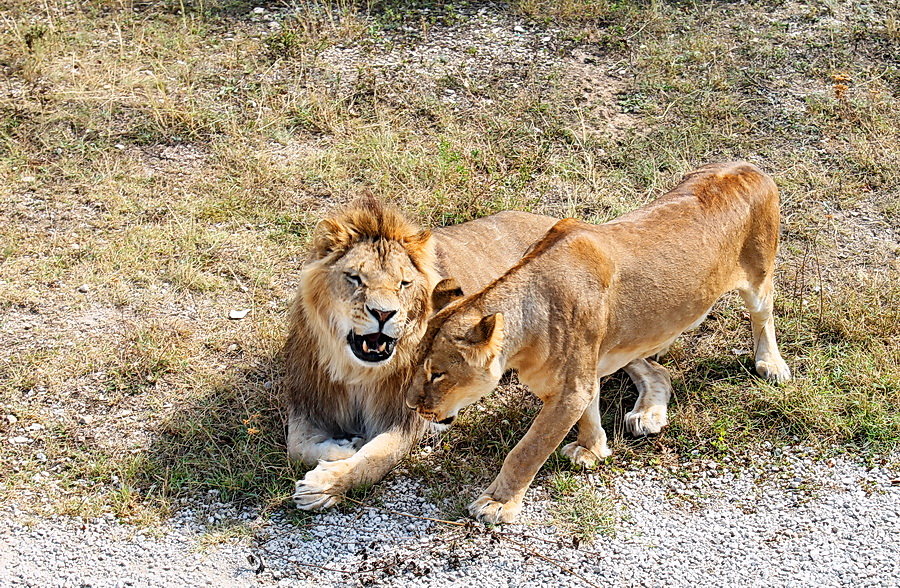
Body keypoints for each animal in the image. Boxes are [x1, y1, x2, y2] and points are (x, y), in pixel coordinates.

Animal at [284, 195, 672, 508]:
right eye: (355, 278)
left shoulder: (406, 419)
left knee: (653, 367)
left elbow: (376, 458)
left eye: (404, 284)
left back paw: (648, 414)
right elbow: (297, 446)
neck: (357, 370)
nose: (383, 313)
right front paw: (341, 449)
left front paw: (325, 484)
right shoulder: (308, 398)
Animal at [412, 162, 792, 524]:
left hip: (759, 274)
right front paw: (592, 450)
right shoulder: (584, 370)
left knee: (763, 315)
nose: (413, 406)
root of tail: (747, 165)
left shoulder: (569, 390)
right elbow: (589, 411)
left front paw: (497, 503)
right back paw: (648, 412)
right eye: (414, 365)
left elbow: (527, 450)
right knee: (658, 371)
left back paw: (770, 364)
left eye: (438, 374)